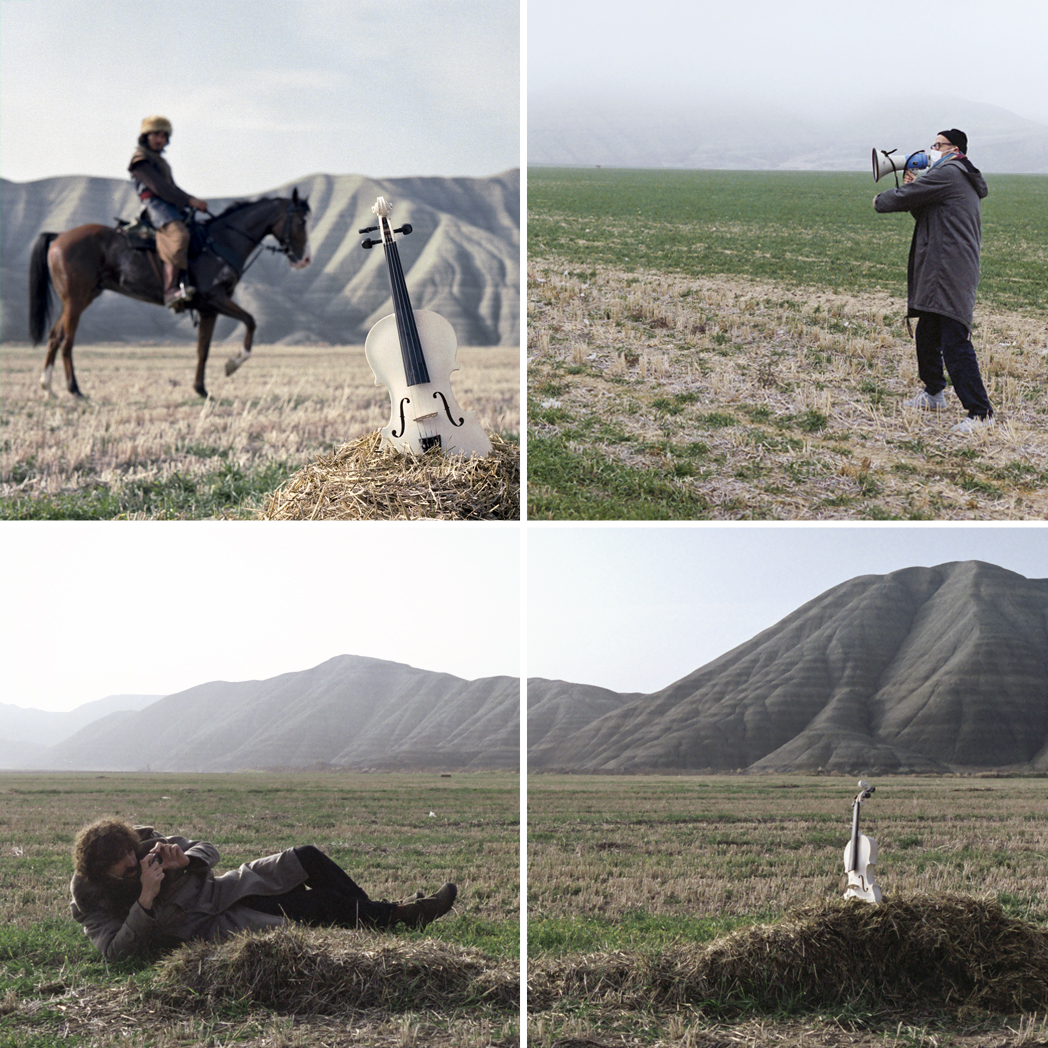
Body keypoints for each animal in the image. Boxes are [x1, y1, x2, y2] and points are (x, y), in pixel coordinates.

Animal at [28, 189, 310, 396]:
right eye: (300, 221)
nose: (305, 260)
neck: (220, 242)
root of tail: (59, 237)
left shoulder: (208, 309)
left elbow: (203, 349)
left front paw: (201, 390)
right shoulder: (216, 299)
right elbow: (251, 321)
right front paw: (233, 364)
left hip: (78, 299)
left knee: (54, 337)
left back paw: (48, 387)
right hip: (76, 300)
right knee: (67, 340)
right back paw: (74, 390)